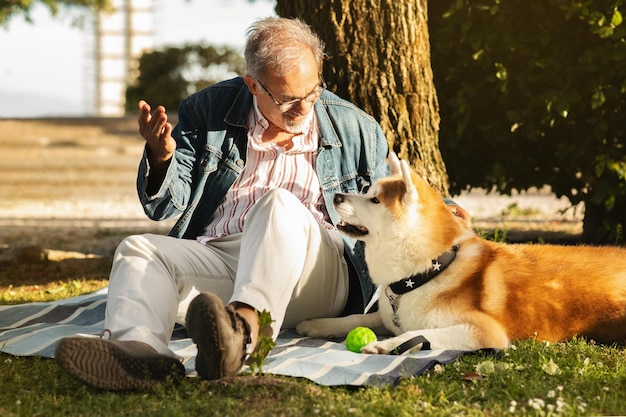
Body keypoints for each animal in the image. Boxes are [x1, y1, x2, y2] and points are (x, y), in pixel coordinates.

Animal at [294, 153, 624, 352]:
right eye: (366, 191)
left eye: (374, 200)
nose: (337, 196)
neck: (428, 271)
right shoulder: (388, 317)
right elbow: (354, 319)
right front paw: (318, 324)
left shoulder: (486, 332)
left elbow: (418, 335)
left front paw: (385, 346)